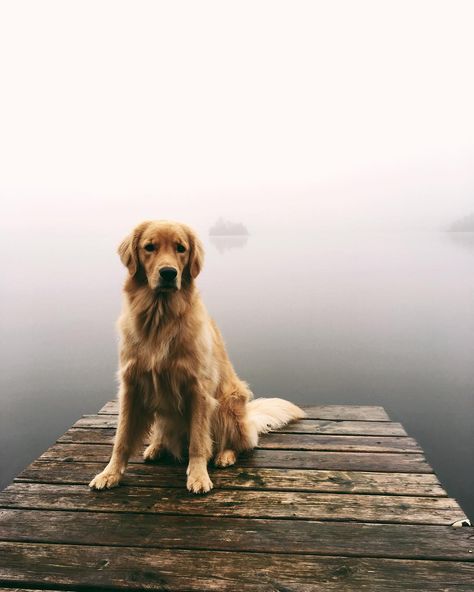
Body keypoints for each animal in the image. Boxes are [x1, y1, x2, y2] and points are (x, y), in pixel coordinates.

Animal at [90, 220, 304, 492]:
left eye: (181, 248)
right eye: (149, 247)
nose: (168, 273)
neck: (161, 317)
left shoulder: (198, 390)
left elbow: (198, 442)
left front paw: (199, 476)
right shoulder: (132, 385)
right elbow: (122, 438)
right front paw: (110, 474)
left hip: (229, 405)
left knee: (240, 443)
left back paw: (225, 455)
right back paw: (156, 447)